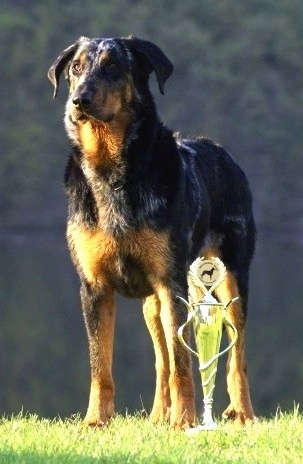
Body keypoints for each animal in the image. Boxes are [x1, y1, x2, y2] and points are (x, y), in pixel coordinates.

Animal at [48, 35, 256, 428]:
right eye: (76, 68)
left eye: (114, 65)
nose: (79, 99)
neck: (112, 170)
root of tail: (224, 153)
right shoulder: (94, 287)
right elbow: (101, 364)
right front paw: (95, 420)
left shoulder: (171, 283)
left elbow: (182, 362)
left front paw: (185, 421)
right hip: (153, 303)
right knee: (161, 358)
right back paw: (160, 414)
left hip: (230, 278)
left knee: (236, 355)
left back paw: (241, 413)